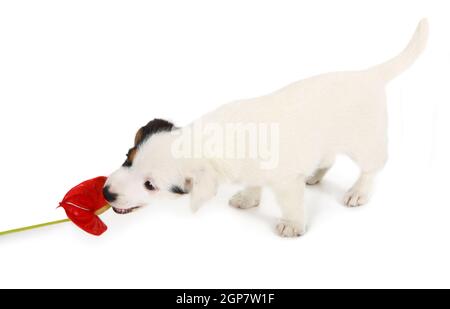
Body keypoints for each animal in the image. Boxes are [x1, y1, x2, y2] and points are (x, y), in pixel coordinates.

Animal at [103, 18, 428, 236]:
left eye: (150, 185)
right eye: (128, 159)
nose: (106, 193)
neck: (210, 138)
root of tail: (369, 74)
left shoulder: (285, 183)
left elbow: (291, 203)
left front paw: (293, 224)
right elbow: (253, 182)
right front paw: (249, 197)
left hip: (365, 143)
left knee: (372, 168)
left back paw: (358, 191)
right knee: (327, 158)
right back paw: (315, 175)